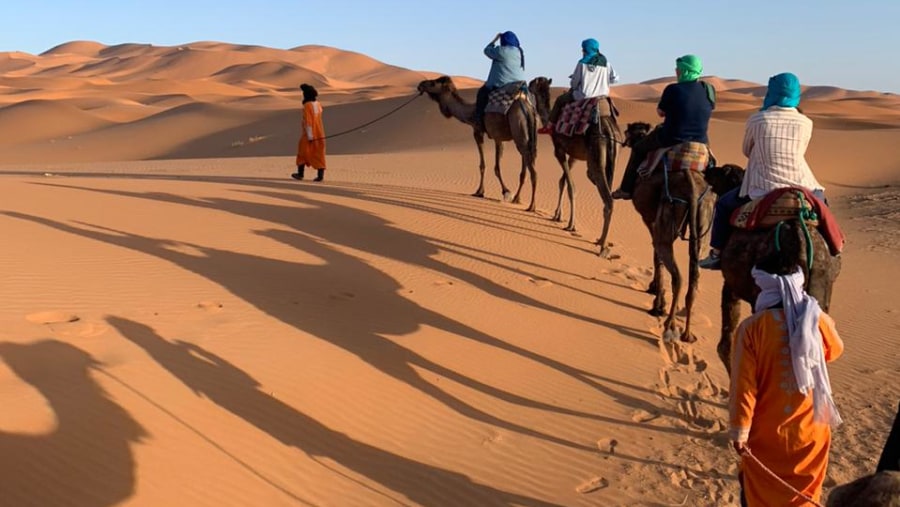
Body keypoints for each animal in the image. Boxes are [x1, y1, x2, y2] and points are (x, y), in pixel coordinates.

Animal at [416, 75, 536, 210]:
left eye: (433, 83)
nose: (420, 85)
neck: (470, 113)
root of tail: (527, 107)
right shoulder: (498, 137)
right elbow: (497, 167)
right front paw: (508, 193)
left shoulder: (477, 130)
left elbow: (483, 165)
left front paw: (482, 191)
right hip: (524, 136)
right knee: (525, 164)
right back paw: (518, 199)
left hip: (518, 127)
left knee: (532, 168)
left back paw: (531, 206)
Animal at [528, 75, 620, 256]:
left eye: (535, 82)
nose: (527, 84)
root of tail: (609, 129)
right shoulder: (573, 157)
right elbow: (562, 182)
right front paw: (557, 215)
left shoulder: (559, 151)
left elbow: (571, 186)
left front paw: (571, 224)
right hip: (611, 159)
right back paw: (601, 240)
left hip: (596, 158)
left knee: (607, 198)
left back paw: (603, 247)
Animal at [624, 124, 712, 346]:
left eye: (630, 132)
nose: (625, 140)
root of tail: (691, 184)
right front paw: (656, 293)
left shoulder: (650, 219)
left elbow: (656, 257)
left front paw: (657, 299)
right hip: (703, 219)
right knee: (694, 277)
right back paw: (687, 334)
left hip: (669, 209)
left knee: (677, 274)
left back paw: (669, 326)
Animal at [704, 164, 844, 374]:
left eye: (722, 171)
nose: (708, 169)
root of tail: (799, 236)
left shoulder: (731, 285)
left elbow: (725, 344)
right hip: (821, 285)